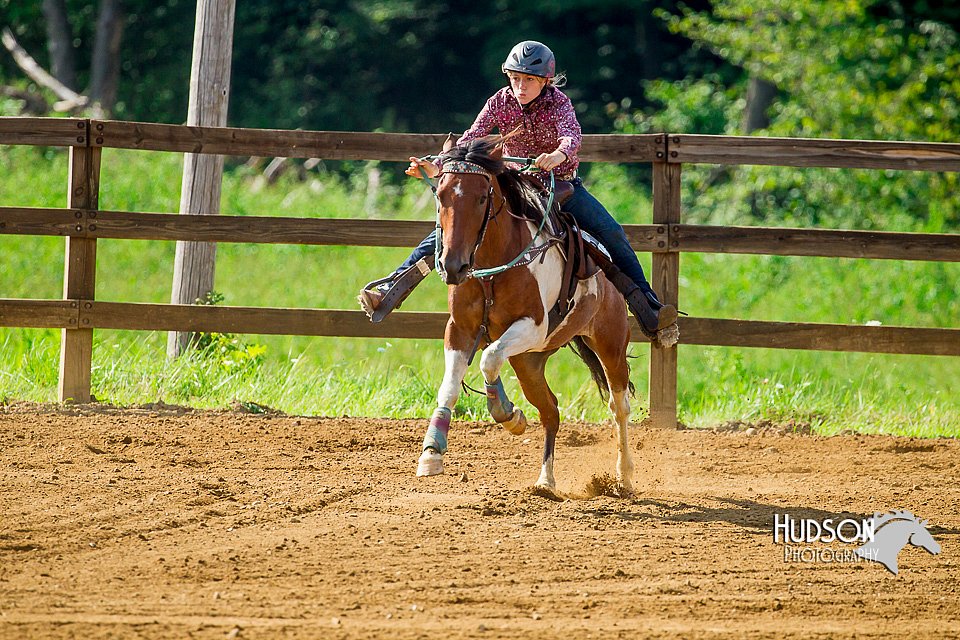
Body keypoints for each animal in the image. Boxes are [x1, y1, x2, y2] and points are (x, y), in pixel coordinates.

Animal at [418, 138, 636, 492]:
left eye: (482, 197)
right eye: (440, 194)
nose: (453, 265)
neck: (492, 271)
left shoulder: (532, 327)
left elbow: (489, 358)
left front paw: (506, 412)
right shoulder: (459, 330)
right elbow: (451, 385)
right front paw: (432, 453)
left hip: (610, 344)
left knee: (619, 407)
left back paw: (624, 476)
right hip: (528, 362)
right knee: (551, 410)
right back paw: (546, 481)